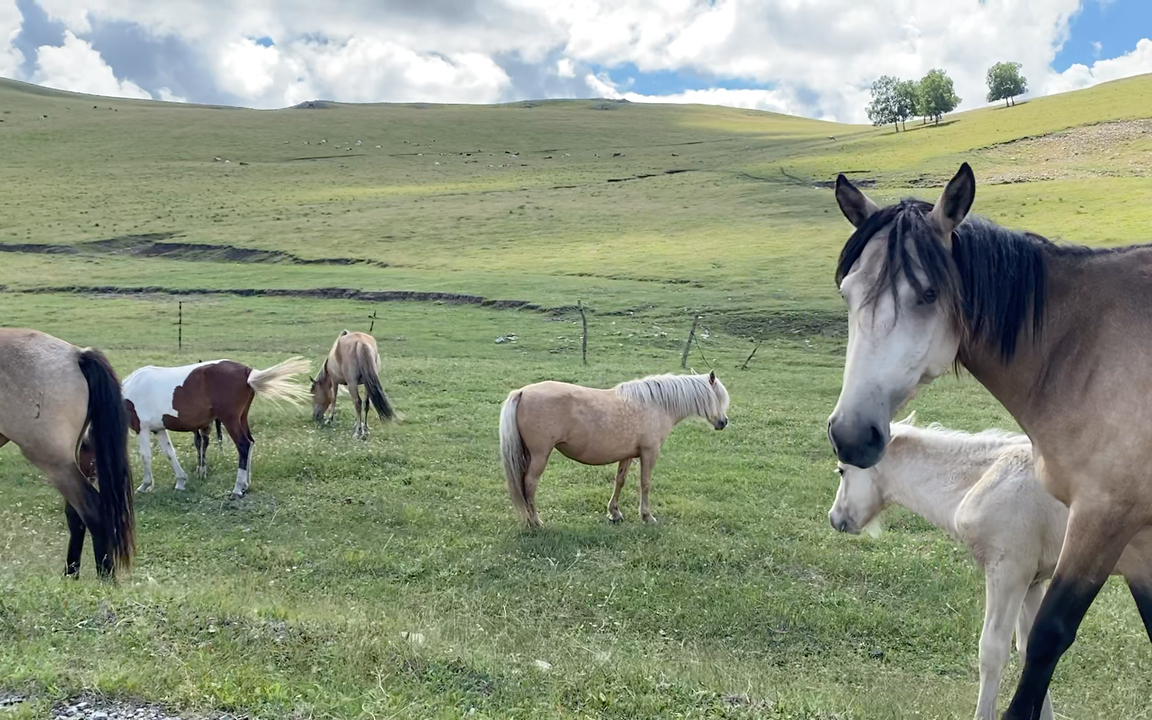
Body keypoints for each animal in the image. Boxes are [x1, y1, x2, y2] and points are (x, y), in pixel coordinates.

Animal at [0, 327, 133, 578]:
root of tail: (76, 355)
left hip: (56, 464)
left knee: (93, 511)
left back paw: (105, 578)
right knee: (76, 516)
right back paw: (70, 575)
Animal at [122, 357, 311, 497]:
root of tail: (247, 373)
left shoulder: (142, 428)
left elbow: (145, 456)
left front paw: (144, 485)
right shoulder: (159, 429)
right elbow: (170, 453)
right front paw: (180, 481)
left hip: (230, 420)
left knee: (243, 445)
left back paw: (237, 488)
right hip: (241, 418)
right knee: (250, 443)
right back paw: (245, 485)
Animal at [495, 370, 728, 527]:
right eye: (717, 397)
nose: (723, 422)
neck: (656, 405)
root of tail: (522, 392)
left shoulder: (627, 455)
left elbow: (620, 481)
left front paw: (614, 513)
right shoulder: (649, 452)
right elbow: (645, 484)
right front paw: (647, 516)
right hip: (540, 455)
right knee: (529, 483)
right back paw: (535, 521)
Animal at [824, 162, 1152, 718]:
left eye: (929, 293)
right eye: (846, 291)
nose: (851, 436)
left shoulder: (1054, 546)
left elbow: (1014, 648)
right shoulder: (1060, 570)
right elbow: (1026, 649)